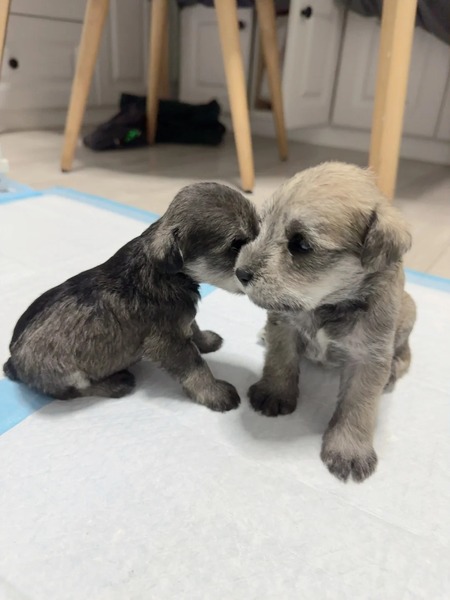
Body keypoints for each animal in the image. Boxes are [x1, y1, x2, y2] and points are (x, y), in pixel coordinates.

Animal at [4, 182, 259, 411]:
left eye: (259, 233)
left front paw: (206, 340)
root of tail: (12, 362)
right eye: (235, 245)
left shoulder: (180, 319)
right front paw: (215, 393)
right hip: (67, 373)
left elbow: (193, 325)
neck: (169, 272)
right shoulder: (167, 342)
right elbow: (196, 367)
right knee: (72, 392)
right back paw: (115, 384)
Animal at [235, 162, 416, 482]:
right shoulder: (284, 325)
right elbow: (279, 361)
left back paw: (394, 371)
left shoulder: (368, 357)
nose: (240, 273)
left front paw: (348, 449)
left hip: (409, 312)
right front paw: (274, 393)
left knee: (405, 352)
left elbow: (358, 404)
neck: (326, 304)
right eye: (262, 226)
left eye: (301, 245)